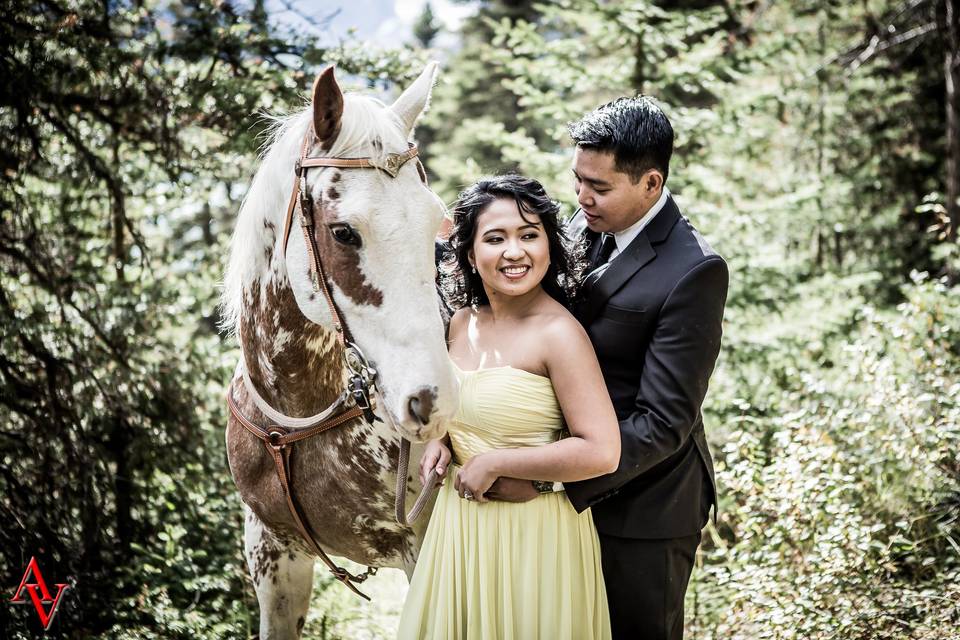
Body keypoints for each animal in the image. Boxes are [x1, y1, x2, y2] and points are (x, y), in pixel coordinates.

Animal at [221, 61, 458, 640]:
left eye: (434, 222)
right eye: (344, 232)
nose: (432, 399)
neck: (301, 416)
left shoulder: (425, 556)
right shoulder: (272, 554)